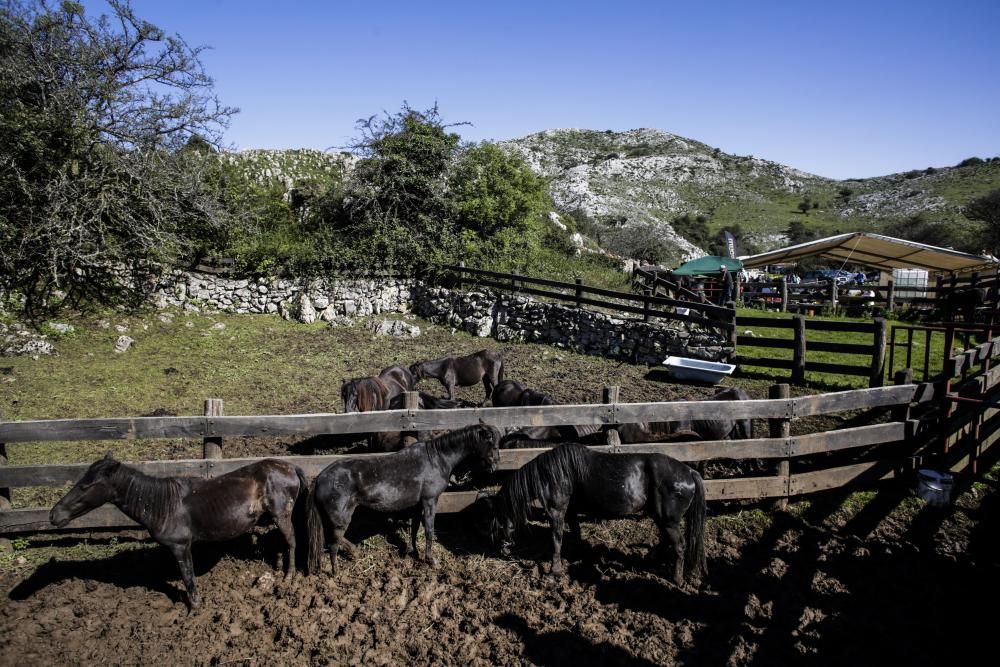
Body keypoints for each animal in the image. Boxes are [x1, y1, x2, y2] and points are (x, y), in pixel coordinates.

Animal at [50, 452, 306, 608]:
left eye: (87, 485)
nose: (54, 515)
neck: (162, 504)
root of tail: (291, 467)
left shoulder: (180, 546)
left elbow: (188, 578)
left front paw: (195, 608)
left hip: (282, 514)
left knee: (292, 541)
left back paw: (289, 575)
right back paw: (279, 568)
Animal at [306, 428, 500, 576]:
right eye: (490, 443)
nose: (494, 464)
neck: (436, 459)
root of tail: (320, 479)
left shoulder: (417, 505)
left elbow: (415, 528)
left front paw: (413, 551)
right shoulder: (430, 501)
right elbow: (429, 530)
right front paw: (431, 559)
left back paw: (354, 552)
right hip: (341, 518)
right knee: (334, 542)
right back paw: (337, 571)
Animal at [488, 446, 708, 588]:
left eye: (498, 523)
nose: (502, 550)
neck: (555, 473)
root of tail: (689, 472)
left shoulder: (557, 512)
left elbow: (556, 540)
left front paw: (554, 571)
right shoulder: (571, 512)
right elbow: (575, 534)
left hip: (668, 520)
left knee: (679, 546)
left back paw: (677, 579)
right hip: (662, 518)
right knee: (665, 541)